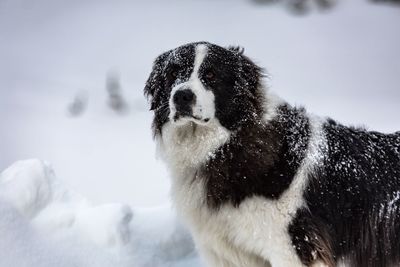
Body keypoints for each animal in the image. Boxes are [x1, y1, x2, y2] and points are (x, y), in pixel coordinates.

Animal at [144, 42, 400, 267]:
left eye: (211, 75)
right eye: (172, 73)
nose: (182, 96)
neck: (227, 146)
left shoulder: (293, 247)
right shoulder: (228, 253)